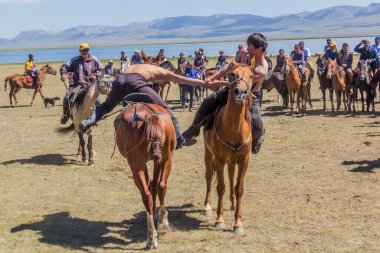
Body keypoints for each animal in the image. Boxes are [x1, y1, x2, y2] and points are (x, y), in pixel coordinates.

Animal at [114, 96, 177, 248]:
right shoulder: (156, 160)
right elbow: (153, 185)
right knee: (161, 186)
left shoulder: (143, 164)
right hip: (167, 158)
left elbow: (150, 185)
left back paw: (151, 238)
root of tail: (150, 116)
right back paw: (162, 222)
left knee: (146, 194)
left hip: (136, 167)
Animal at [203, 63, 254, 235]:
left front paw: (238, 223)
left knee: (231, 177)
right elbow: (220, 187)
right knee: (208, 176)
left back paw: (233, 203)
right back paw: (207, 206)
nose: (240, 92)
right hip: (208, 153)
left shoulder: (244, 161)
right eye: (231, 74)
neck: (234, 128)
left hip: (233, 160)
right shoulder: (218, 160)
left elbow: (239, 188)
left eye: (251, 76)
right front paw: (219, 220)